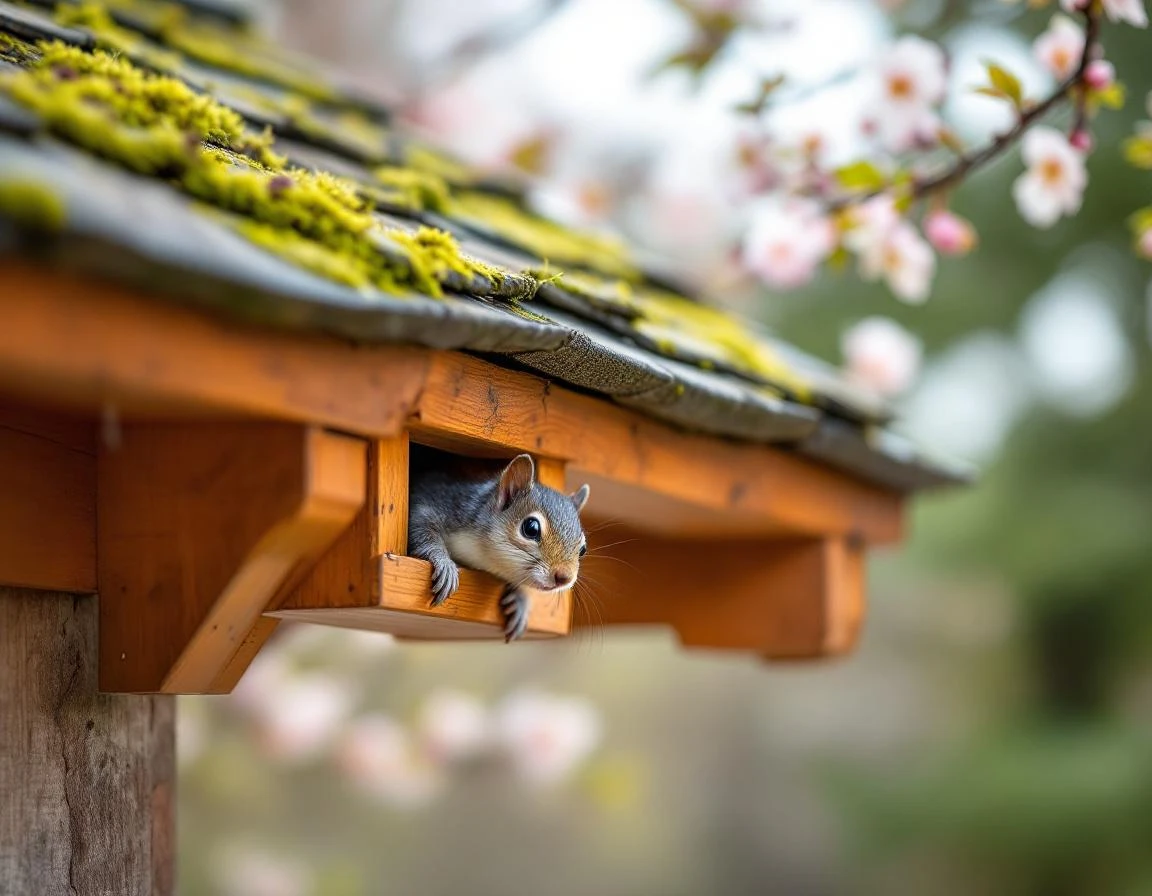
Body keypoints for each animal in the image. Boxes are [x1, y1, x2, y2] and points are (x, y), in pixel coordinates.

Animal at [408, 454, 590, 642]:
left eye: (583, 549)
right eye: (531, 528)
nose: (564, 577)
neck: (484, 556)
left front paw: (520, 599)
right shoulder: (443, 504)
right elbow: (421, 525)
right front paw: (445, 564)